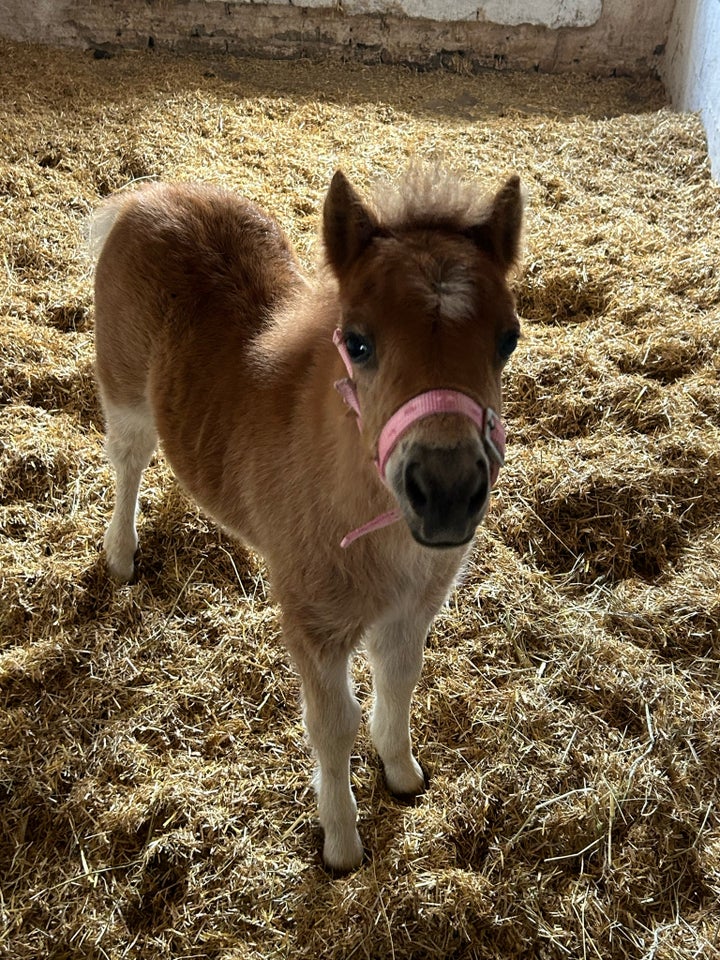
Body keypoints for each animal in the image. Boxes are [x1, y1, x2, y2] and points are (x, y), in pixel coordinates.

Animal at [94, 165, 524, 872]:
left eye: (508, 339)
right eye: (358, 342)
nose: (445, 492)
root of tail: (147, 196)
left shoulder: (412, 608)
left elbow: (400, 680)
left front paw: (403, 775)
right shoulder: (313, 625)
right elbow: (333, 723)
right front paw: (342, 845)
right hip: (124, 387)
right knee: (128, 460)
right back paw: (121, 555)